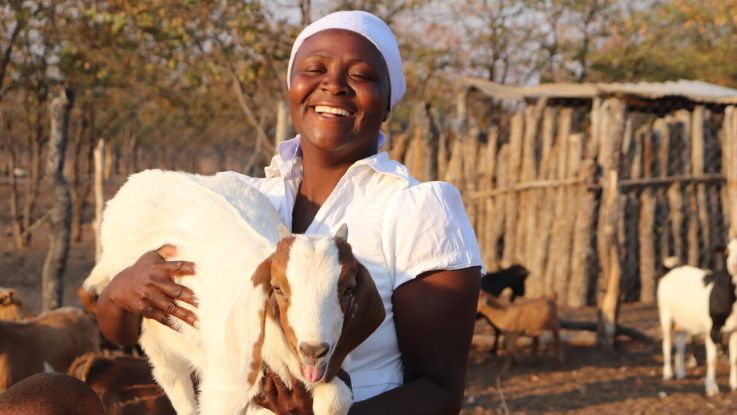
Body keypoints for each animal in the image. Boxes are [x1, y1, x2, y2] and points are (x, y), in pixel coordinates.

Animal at [83, 170, 385, 415]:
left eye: (348, 289)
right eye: (278, 288)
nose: (313, 350)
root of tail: (136, 181)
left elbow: (335, 400)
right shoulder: (224, 388)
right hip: (152, 329)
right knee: (172, 378)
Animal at [658, 239, 737, 396]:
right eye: (728, 251)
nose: (734, 265)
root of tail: (672, 270)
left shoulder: (735, 329)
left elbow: (734, 358)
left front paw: (734, 385)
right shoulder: (712, 329)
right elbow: (712, 360)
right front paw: (711, 388)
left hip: (683, 319)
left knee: (680, 342)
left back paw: (681, 373)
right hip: (665, 314)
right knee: (667, 342)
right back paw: (668, 373)